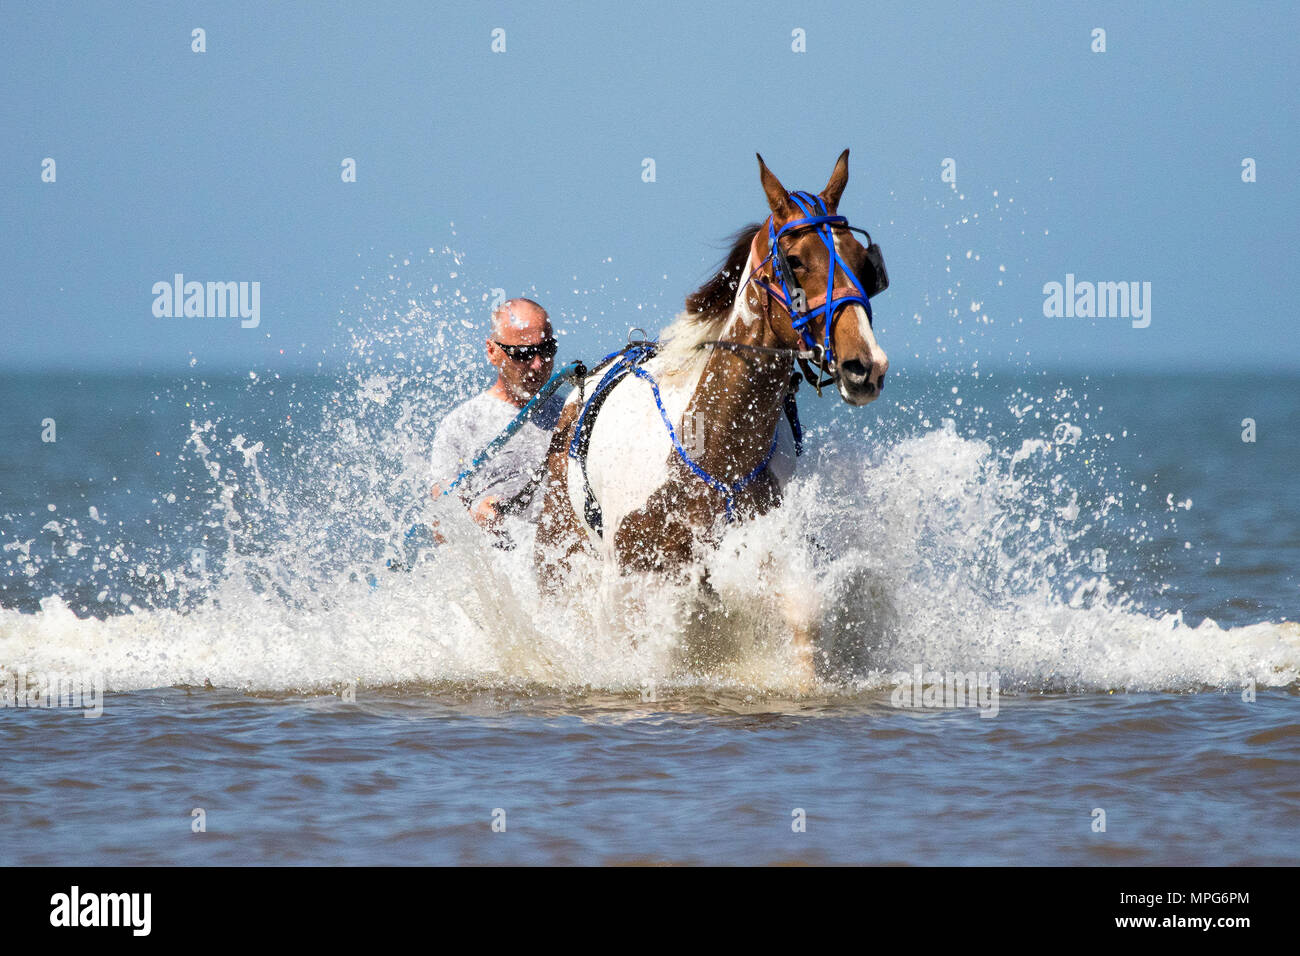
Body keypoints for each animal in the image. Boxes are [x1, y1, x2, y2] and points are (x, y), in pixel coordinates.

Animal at [533, 151, 889, 681]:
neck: (712, 448)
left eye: (865, 264)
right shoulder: (642, 576)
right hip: (561, 549)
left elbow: (802, 615)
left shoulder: (761, 553)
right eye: (794, 261)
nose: (865, 365)